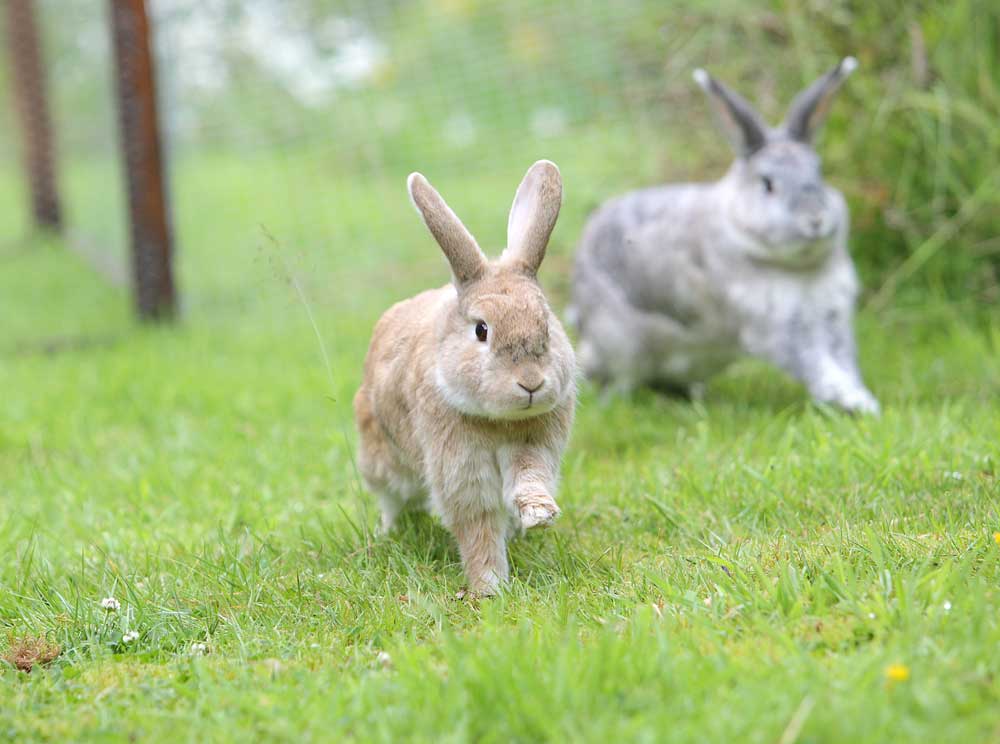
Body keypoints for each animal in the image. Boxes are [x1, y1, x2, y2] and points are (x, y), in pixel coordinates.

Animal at [354, 160, 577, 595]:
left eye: (546, 322)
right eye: (482, 330)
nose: (530, 383)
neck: (498, 421)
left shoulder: (533, 445)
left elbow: (528, 478)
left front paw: (538, 515)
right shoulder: (459, 469)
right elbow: (477, 525)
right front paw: (488, 587)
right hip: (380, 458)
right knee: (391, 497)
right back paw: (388, 533)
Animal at [569, 58, 879, 414]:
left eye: (819, 174)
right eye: (768, 184)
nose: (815, 218)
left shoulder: (833, 318)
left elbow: (843, 360)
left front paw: (860, 398)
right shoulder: (774, 329)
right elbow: (813, 362)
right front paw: (852, 400)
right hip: (620, 344)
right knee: (613, 378)